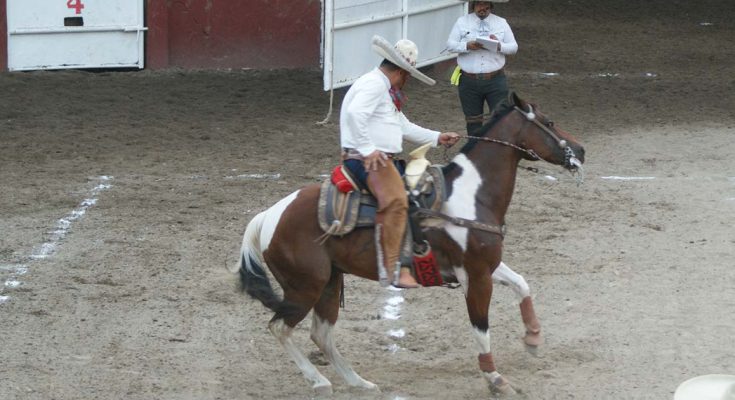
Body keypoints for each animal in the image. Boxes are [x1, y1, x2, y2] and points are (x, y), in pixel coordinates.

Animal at [236, 92, 588, 396]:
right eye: (550, 121)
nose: (581, 150)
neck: (471, 194)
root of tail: (268, 216)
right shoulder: (475, 275)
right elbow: (481, 328)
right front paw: (495, 379)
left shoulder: (486, 265)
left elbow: (521, 284)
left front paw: (533, 337)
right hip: (304, 287)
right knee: (280, 328)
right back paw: (320, 381)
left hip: (329, 282)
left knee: (321, 333)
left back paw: (359, 382)